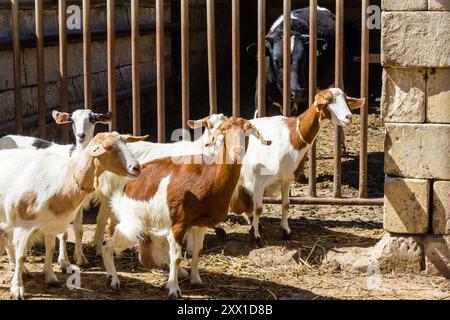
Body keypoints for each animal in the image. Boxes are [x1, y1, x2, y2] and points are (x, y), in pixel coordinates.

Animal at [103, 117, 270, 300]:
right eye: (224, 131)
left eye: (247, 131)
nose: (237, 153)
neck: (209, 177)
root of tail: (129, 185)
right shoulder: (179, 224)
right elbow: (177, 258)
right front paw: (174, 290)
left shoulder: (200, 224)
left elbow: (197, 251)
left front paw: (196, 280)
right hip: (132, 223)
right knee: (107, 245)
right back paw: (113, 280)